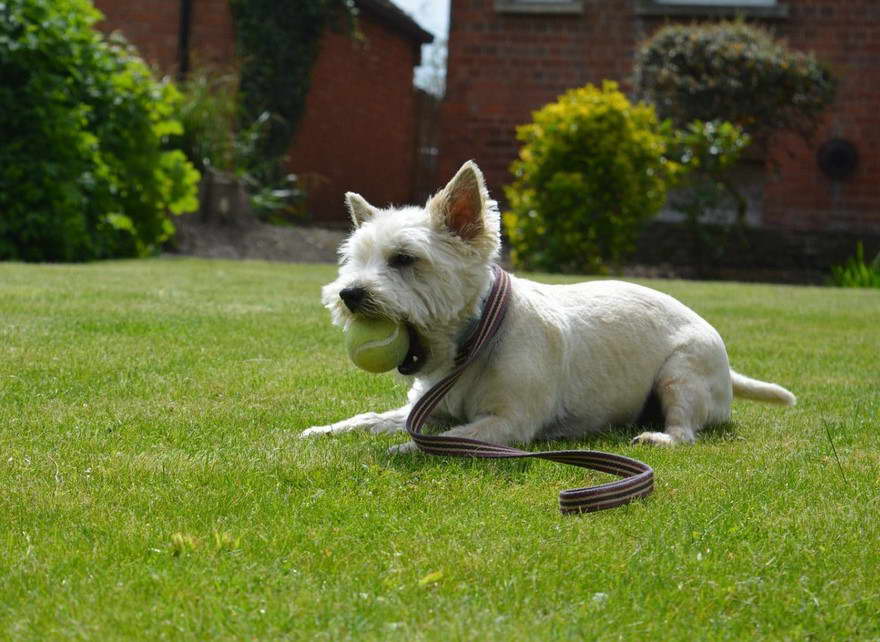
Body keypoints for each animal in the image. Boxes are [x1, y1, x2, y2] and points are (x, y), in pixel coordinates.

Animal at [302, 161, 796, 444]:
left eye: (404, 259)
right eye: (353, 260)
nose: (349, 294)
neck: (474, 344)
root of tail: (727, 368)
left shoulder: (510, 422)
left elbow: (459, 436)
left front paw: (408, 448)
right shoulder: (424, 409)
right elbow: (371, 417)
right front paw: (325, 429)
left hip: (681, 376)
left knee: (686, 430)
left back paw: (660, 437)